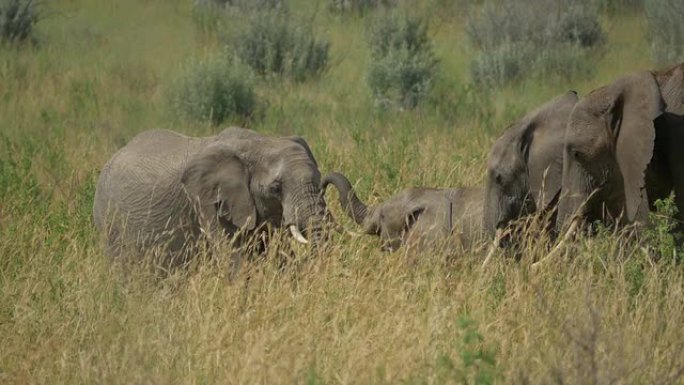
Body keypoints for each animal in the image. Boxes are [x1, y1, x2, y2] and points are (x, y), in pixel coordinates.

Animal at [94, 127, 332, 266]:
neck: (261, 142)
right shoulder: (207, 202)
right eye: (275, 189)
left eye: (319, 181)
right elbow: (232, 257)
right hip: (110, 223)